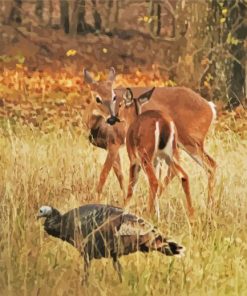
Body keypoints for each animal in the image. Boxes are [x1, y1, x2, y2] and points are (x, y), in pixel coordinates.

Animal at [84, 67, 217, 206]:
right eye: (97, 98)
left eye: (114, 97)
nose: (112, 118)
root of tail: (211, 107)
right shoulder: (110, 146)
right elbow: (120, 176)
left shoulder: (115, 142)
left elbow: (104, 175)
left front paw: (98, 200)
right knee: (179, 170)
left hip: (190, 140)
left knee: (210, 165)